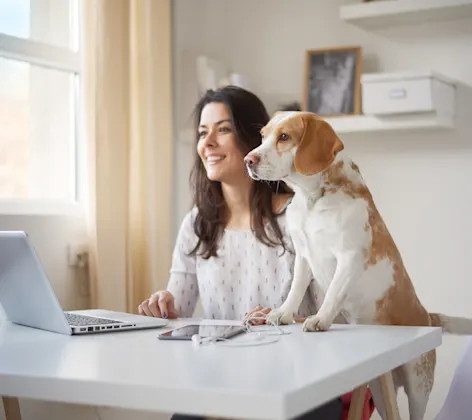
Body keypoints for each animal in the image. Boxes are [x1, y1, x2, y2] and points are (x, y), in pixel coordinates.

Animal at [245, 110, 472, 420]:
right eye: (263, 135)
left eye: (284, 137)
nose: (248, 160)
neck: (313, 198)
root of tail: (427, 317)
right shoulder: (303, 255)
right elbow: (295, 291)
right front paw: (283, 313)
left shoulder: (349, 256)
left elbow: (332, 294)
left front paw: (320, 319)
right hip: (379, 387)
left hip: (418, 386)